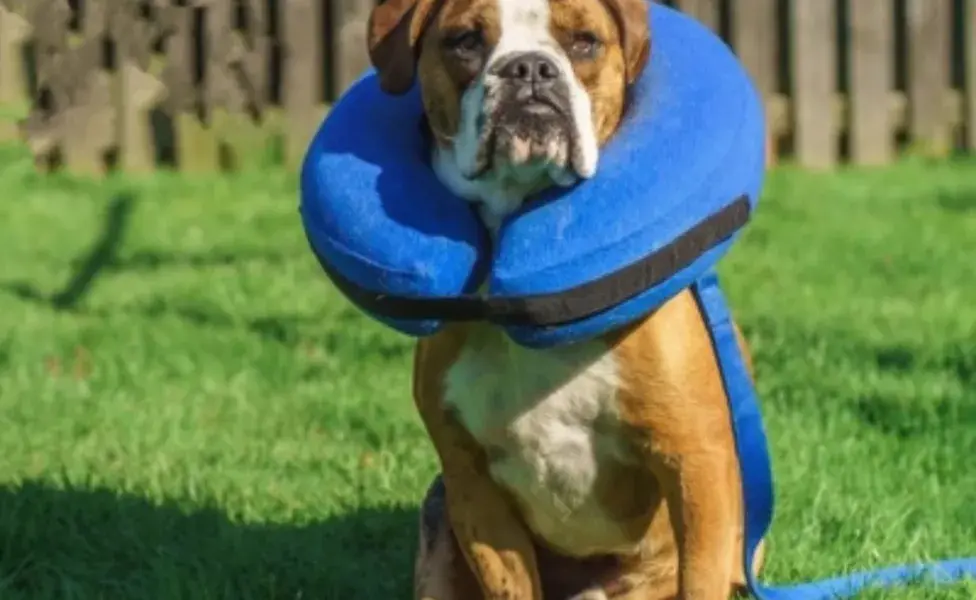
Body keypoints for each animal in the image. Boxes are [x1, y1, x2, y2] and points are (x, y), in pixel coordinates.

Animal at [368, 0, 772, 596]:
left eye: (584, 41)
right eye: (465, 40)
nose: (530, 69)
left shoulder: (695, 466)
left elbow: (700, 576)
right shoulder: (472, 489)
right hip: (439, 517)